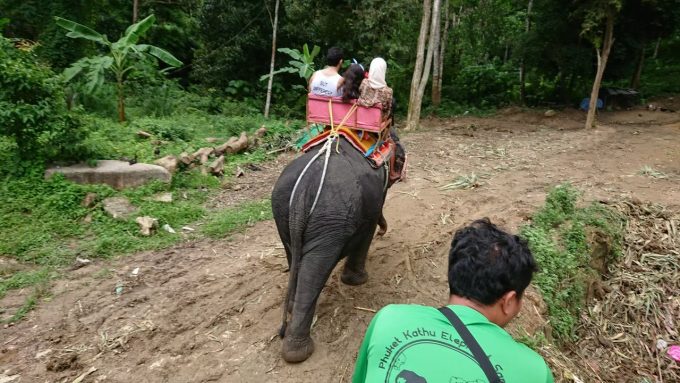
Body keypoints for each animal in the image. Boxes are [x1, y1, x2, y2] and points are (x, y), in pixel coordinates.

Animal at [270, 136, 404, 364]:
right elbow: (367, 230)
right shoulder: (374, 196)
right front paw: (358, 281)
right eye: (401, 160)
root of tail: (305, 188)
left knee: (295, 259)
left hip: (283, 213)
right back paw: (299, 353)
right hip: (330, 219)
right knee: (315, 267)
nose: (383, 232)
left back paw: (291, 314)